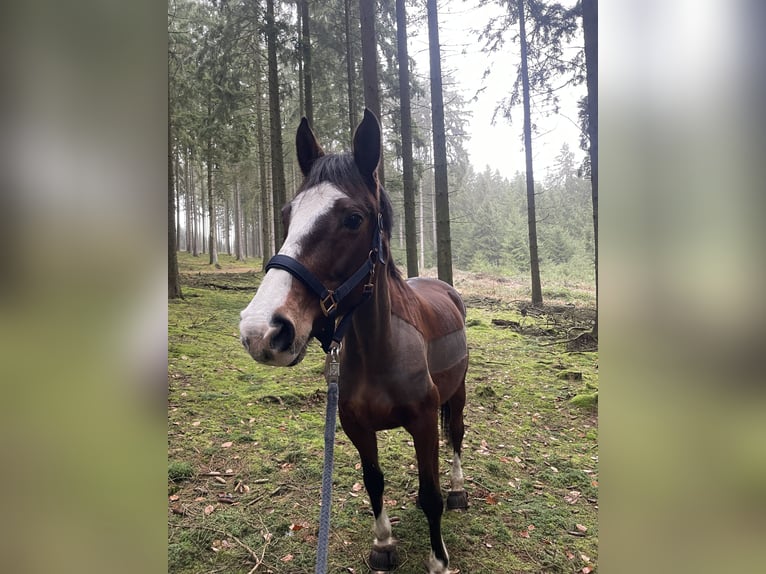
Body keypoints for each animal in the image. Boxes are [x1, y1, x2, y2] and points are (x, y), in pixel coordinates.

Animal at [239, 109, 469, 574]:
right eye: (287, 214)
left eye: (353, 219)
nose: (262, 330)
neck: (380, 349)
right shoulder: (355, 426)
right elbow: (374, 481)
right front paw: (383, 543)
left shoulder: (424, 421)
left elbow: (430, 494)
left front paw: (438, 559)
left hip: (459, 393)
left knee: (456, 435)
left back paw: (458, 489)